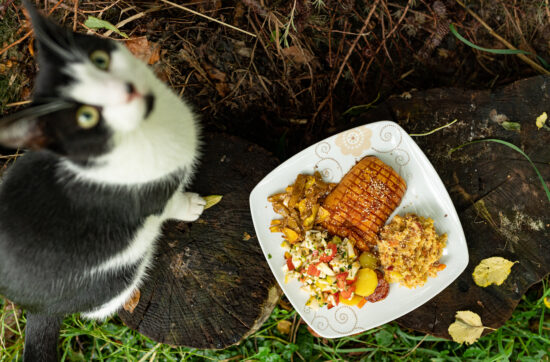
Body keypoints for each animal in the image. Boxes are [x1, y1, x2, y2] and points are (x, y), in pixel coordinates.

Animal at [0, 2, 206, 360]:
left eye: (100, 59)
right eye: (86, 117)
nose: (128, 91)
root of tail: (34, 310)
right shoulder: (151, 197)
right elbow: (170, 204)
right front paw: (192, 205)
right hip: (118, 275)